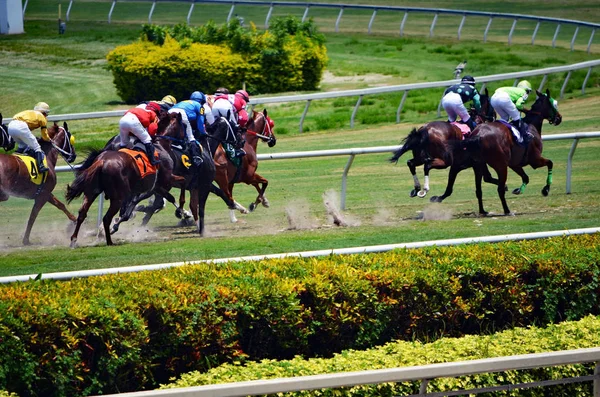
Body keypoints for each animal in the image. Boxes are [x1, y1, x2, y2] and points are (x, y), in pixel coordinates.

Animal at [68, 110, 176, 243]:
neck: (160, 145)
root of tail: (101, 161)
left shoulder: (151, 187)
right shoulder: (159, 183)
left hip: (92, 191)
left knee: (83, 213)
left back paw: (76, 239)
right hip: (118, 196)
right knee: (107, 217)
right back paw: (108, 238)